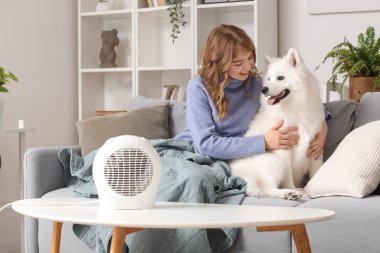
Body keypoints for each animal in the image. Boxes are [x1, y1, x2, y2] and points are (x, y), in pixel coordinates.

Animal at [229, 48, 324, 200]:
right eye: (268, 79)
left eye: (280, 78)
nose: (263, 89)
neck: (294, 108)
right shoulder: (283, 149)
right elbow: (289, 177)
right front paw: (292, 189)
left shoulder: (315, 148)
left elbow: (316, 172)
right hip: (275, 161)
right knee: (266, 189)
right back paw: (290, 193)